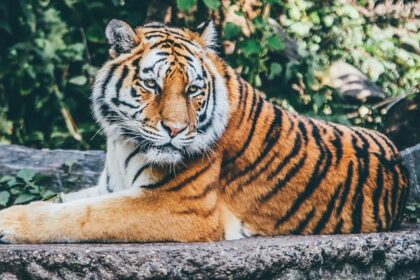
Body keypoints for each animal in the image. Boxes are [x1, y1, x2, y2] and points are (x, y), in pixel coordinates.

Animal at [0, 19, 408, 243]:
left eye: (193, 89)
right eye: (152, 85)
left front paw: (8, 222)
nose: (175, 129)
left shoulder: (179, 205)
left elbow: (79, 216)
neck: (122, 143)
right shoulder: (109, 187)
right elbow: (64, 202)